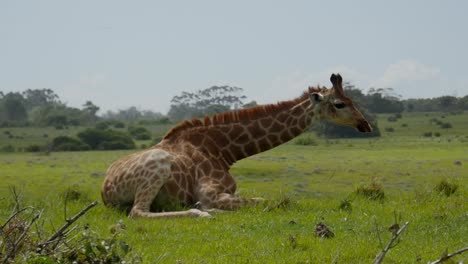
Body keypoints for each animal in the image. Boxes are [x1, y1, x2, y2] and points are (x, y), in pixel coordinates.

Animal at [101, 73, 372, 218]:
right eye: (339, 104)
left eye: (352, 99)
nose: (365, 125)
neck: (223, 151)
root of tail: (105, 191)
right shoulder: (210, 193)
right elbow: (271, 201)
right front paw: (204, 208)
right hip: (158, 164)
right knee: (137, 212)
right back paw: (201, 213)